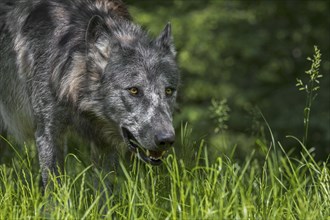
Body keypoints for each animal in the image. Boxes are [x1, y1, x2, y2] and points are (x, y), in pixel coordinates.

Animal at [0, 0, 179, 187]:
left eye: (168, 91)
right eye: (134, 90)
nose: (166, 139)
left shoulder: (105, 142)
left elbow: (104, 189)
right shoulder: (48, 133)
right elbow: (54, 187)